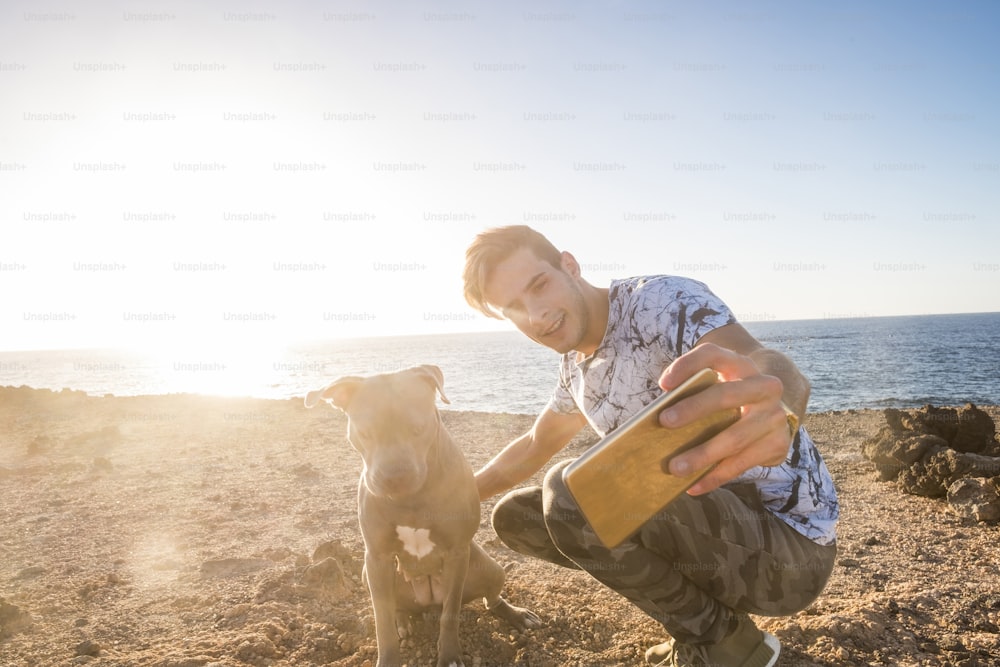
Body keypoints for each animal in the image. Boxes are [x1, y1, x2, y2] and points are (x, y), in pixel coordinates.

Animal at [304, 366, 540, 667]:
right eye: (365, 432)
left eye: (417, 428)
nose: (394, 478)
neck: (411, 499)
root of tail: (429, 602)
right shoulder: (377, 558)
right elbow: (382, 621)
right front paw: (388, 658)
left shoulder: (457, 552)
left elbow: (450, 614)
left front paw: (449, 657)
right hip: (369, 573)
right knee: (396, 608)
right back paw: (403, 622)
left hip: (489, 567)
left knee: (489, 599)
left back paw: (516, 615)